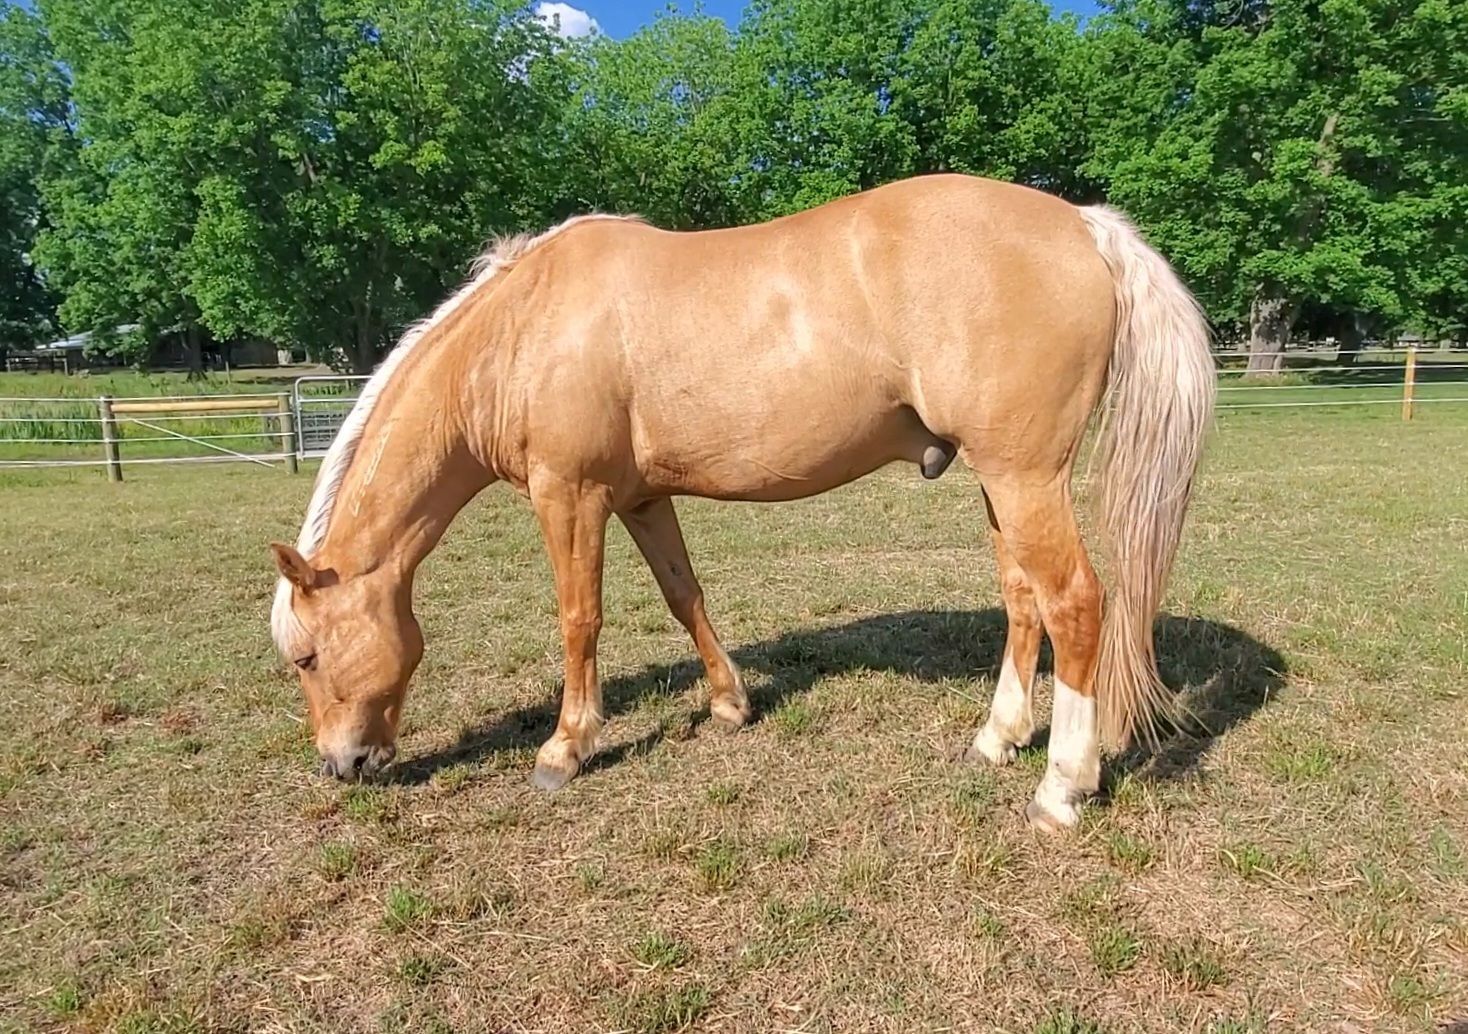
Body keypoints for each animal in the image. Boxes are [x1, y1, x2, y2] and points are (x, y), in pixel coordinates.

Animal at [269, 173, 1215, 831]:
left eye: (307, 657)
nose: (341, 767)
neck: (522, 330)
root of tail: (1085, 225)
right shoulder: (641, 498)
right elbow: (684, 594)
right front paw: (730, 704)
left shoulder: (568, 496)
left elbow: (580, 618)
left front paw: (565, 748)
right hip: (1001, 482)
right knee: (1024, 602)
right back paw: (998, 739)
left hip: (1025, 477)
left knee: (1076, 604)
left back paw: (1062, 788)